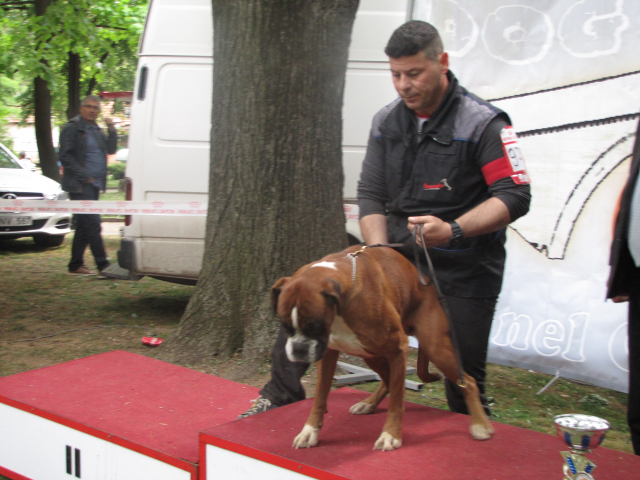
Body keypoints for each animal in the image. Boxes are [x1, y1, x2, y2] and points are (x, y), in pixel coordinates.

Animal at [272, 246, 496, 452]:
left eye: (315, 326)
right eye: (285, 325)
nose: (298, 349)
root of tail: (426, 281)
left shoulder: (398, 350)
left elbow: (396, 400)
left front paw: (391, 435)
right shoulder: (327, 355)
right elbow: (320, 396)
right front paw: (310, 430)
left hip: (436, 350)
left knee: (468, 382)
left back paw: (480, 425)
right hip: (369, 353)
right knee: (387, 380)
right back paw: (368, 404)